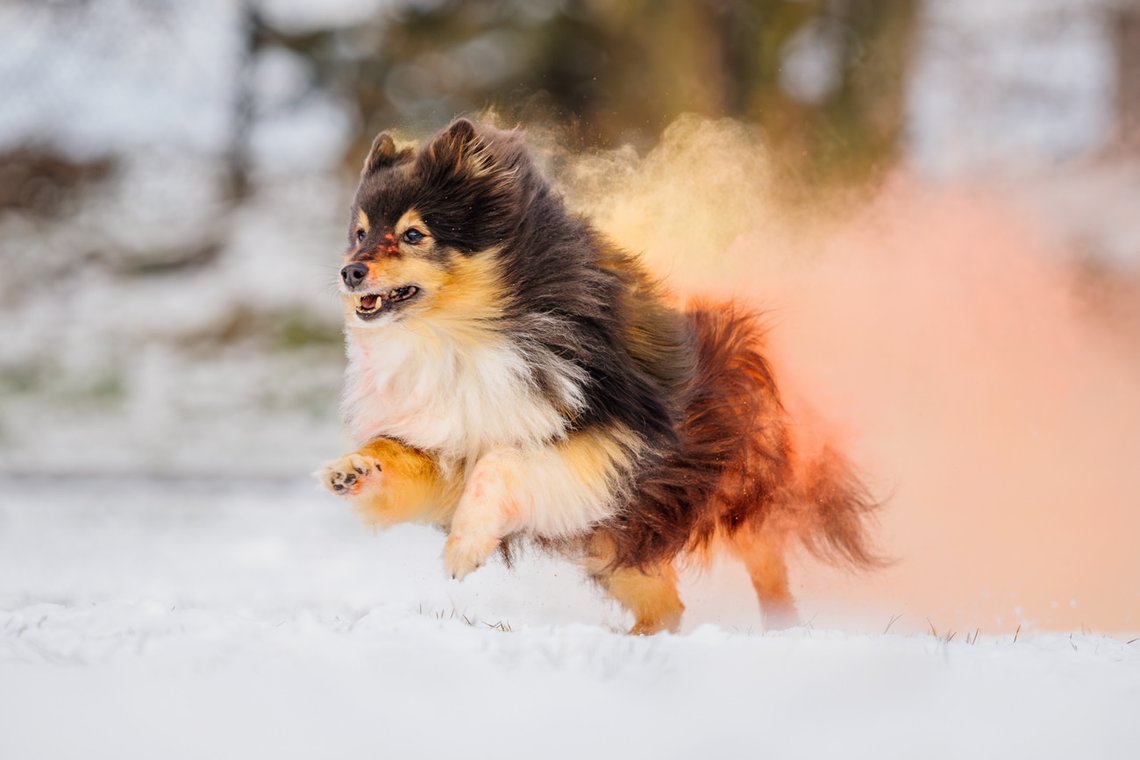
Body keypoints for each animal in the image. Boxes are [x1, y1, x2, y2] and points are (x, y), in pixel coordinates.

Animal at [321, 119, 880, 633]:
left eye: (414, 234)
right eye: (361, 233)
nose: (349, 271)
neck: (462, 339)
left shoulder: (605, 445)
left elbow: (500, 463)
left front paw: (464, 549)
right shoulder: (451, 444)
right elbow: (399, 453)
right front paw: (352, 470)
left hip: (732, 492)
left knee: (766, 562)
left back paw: (782, 628)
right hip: (616, 539)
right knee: (667, 605)